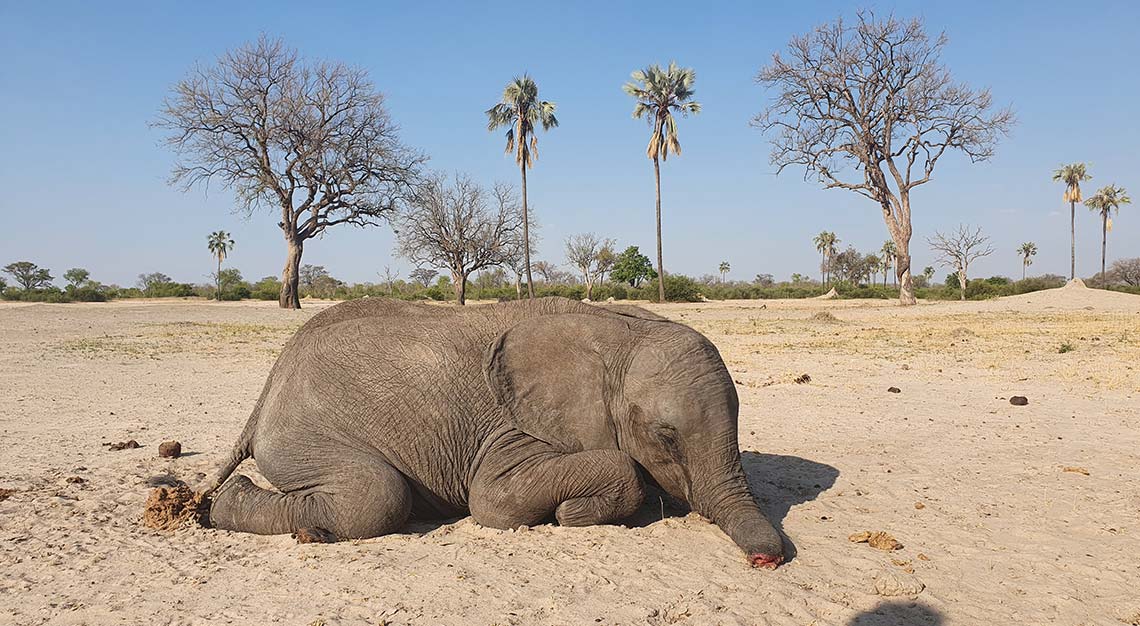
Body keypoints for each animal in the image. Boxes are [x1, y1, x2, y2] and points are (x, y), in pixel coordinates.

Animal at [200, 296, 784, 565]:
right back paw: (248, 510)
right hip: (303, 433)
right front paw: (572, 515)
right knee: (375, 496)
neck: (618, 328)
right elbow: (493, 502)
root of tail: (274, 374)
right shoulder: (513, 426)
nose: (768, 559)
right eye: (666, 437)